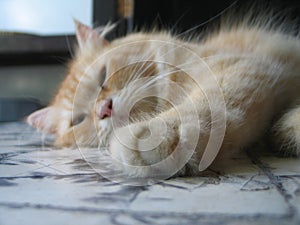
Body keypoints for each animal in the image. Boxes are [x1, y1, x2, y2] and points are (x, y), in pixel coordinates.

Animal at [25, 14, 300, 180]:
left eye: (103, 76)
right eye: (79, 121)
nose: (104, 109)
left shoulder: (242, 67)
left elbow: (203, 107)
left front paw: (155, 136)